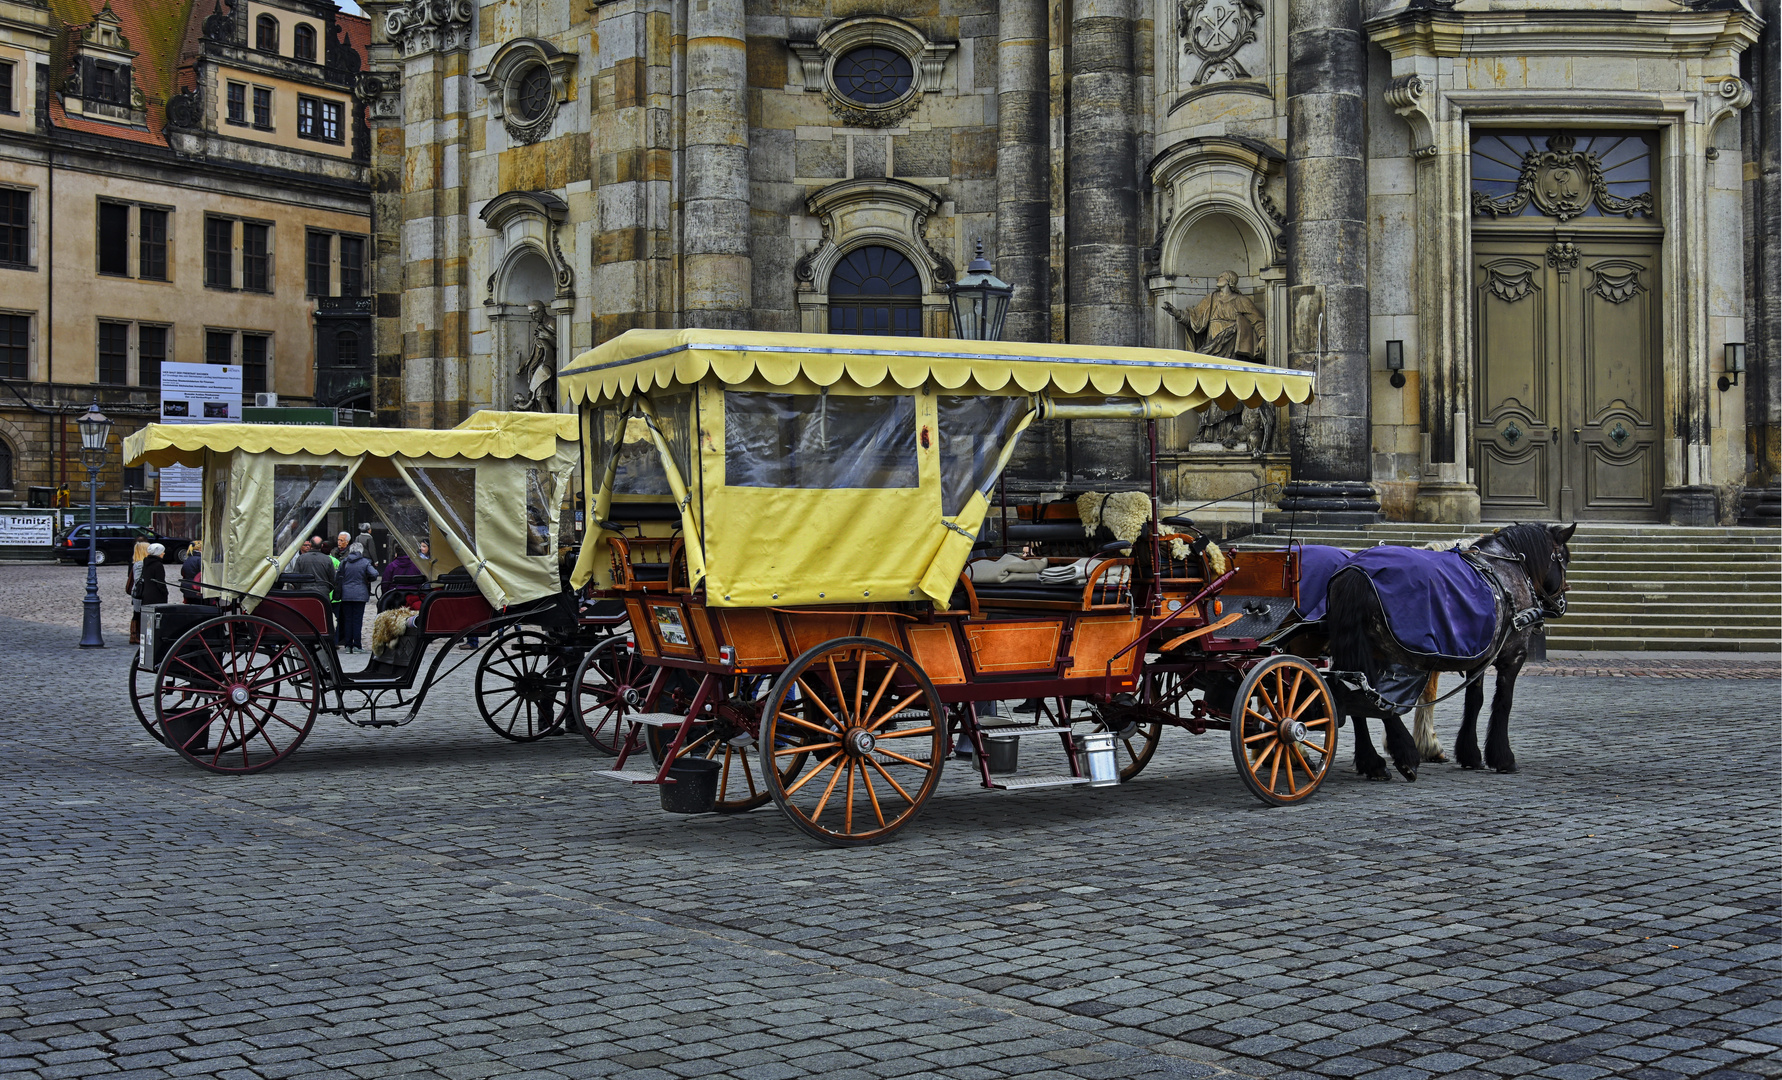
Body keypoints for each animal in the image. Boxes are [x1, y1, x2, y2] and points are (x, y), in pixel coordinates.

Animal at [1325, 523, 1575, 777]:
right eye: (1564, 559)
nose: (1562, 603)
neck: (1505, 570)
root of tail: (1354, 574)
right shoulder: (1513, 657)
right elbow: (1503, 702)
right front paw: (1503, 758)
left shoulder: (1480, 657)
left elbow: (1474, 701)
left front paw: (1470, 754)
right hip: (1391, 656)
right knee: (1377, 700)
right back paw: (1404, 753)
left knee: (1353, 694)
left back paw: (1372, 761)